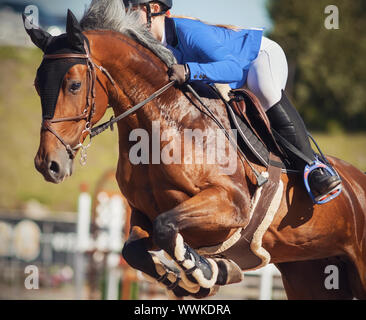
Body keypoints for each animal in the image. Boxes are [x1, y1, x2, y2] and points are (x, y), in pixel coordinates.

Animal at [24, 2, 364, 298]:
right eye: (37, 86)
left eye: (74, 85)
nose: (47, 163)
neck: (166, 124)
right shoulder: (142, 212)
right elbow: (133, 249)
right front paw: (192, 280)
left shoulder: (232, 203)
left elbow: (166, 227)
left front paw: (209, 271)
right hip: (310, 272)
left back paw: (323, 179)